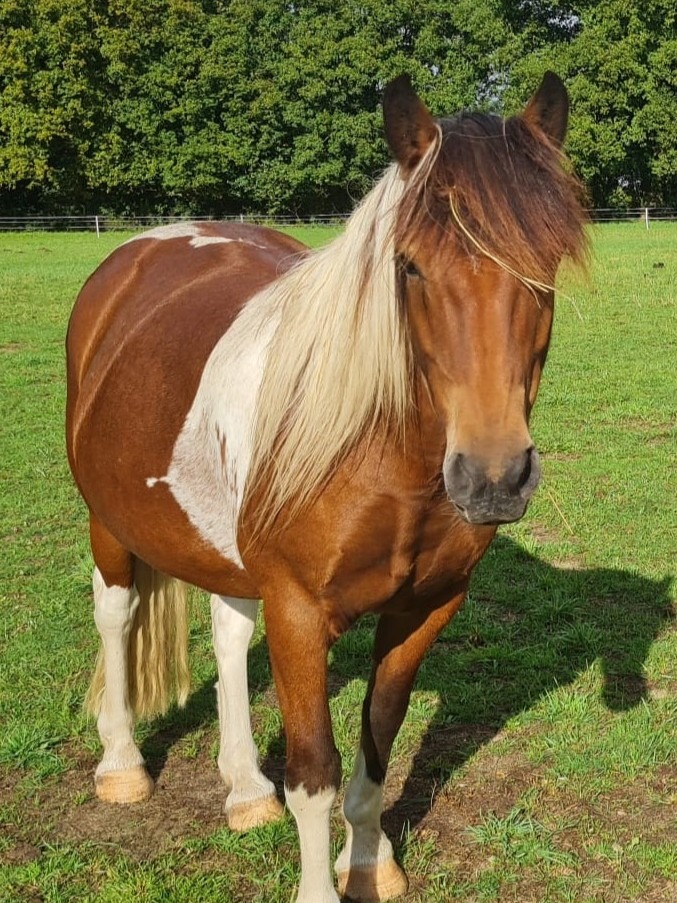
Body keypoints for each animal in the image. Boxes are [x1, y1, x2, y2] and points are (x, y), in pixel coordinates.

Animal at [66, 72, 587, 902]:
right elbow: (315, 772)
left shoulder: (421, 609)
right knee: (115, 617)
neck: (381, 457)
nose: (493, 476)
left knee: (228, 632)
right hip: (109, 521)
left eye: (548, 265)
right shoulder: (300, 611)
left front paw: (369, 862)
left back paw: (245, 788)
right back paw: (121, 766)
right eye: (408, 265)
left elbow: (376, 748)